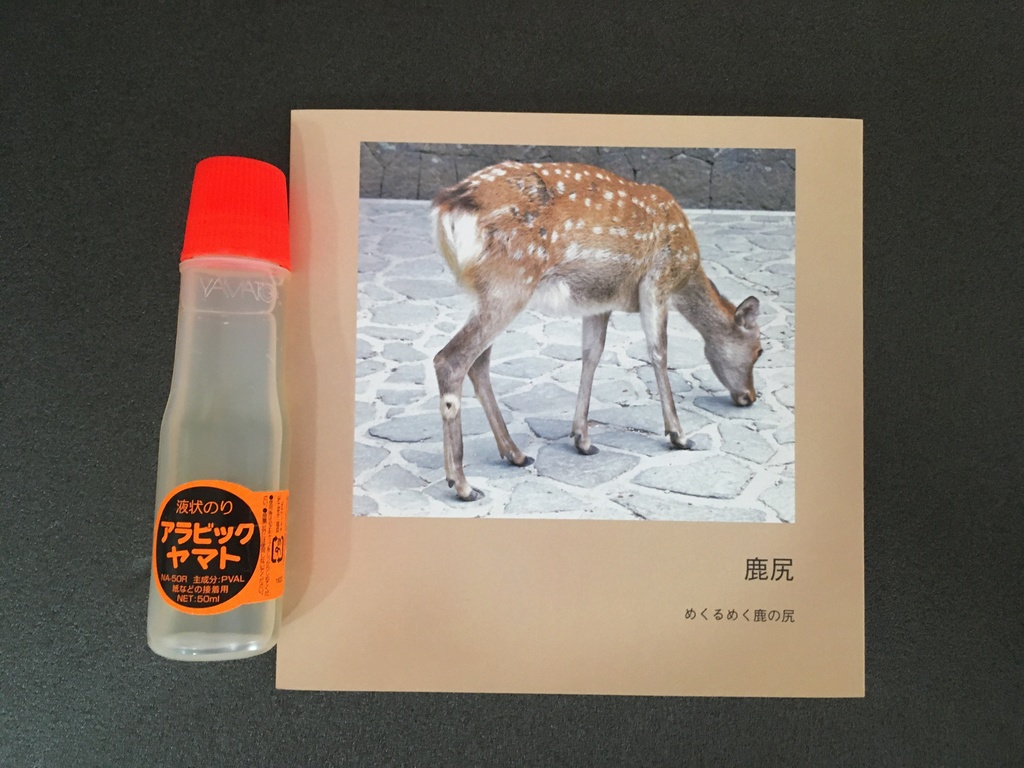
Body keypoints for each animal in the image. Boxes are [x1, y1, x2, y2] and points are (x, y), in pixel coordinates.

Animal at [431, 160, 763, 501]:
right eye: (760, 350)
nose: (750, 396)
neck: (687, 271)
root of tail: (448, 206)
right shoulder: (657, 280)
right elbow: (659, 351)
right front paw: (679, 435)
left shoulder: (600, 299)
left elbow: (592, 354)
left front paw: (582, 439)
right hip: (510, 282)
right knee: (450, 359)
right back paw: (462, 483)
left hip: (486, 292)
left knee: (478, 363)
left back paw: (515, 454)